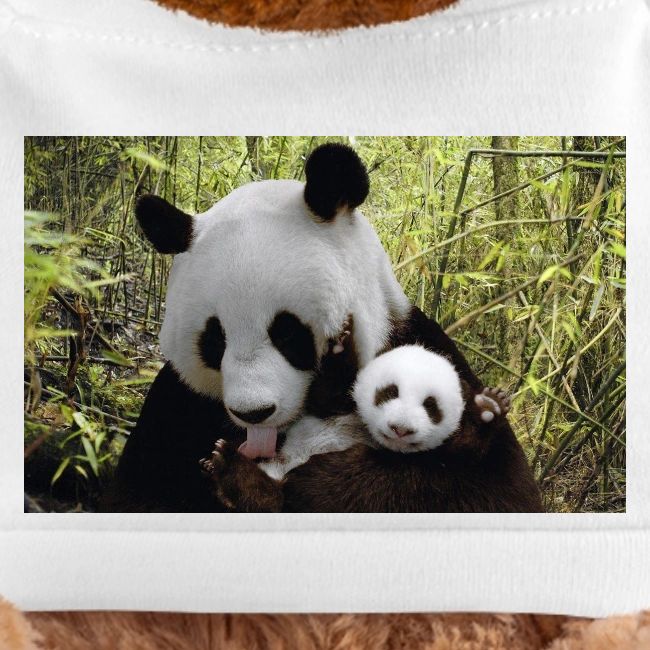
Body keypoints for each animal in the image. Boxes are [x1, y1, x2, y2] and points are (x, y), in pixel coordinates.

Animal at [100, 143, 540, 513]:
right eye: (215, 340)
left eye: (287, 333)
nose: (254, 413)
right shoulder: (178, 405)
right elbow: (137, 494)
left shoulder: (421, 347)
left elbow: (490, 489)